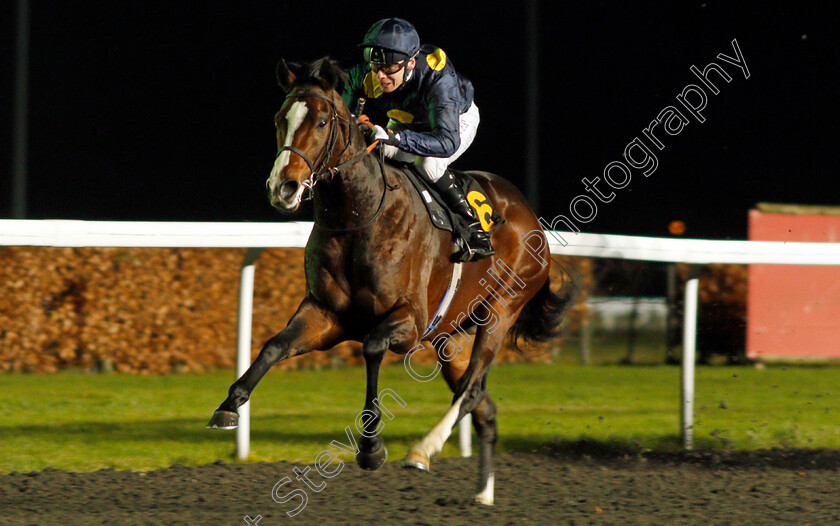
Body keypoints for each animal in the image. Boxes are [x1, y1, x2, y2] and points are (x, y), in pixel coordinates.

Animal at [208, 57, 576, 508]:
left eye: (322, 121)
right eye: (280, 118)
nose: (284, 187)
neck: (359, 216)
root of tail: (529, 217)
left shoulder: (410, 321)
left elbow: (372, 347)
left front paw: (371, 447)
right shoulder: (325, 313)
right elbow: (275, 345)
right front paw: (229, 405)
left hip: (501, 309)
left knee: (471, 390)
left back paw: (423, 451)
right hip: (450, 336)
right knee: (482, 405)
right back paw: (482, 495)